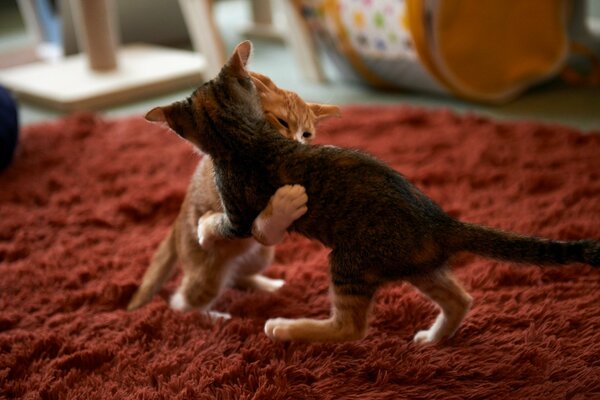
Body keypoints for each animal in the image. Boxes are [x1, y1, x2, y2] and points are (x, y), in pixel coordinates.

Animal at [126, 71, 338, 316]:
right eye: (282, 121)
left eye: (307, 134)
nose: (296, 144)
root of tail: (178, 219)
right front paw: (285, 204)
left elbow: (268, 233)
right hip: (208, 273)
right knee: (183, 301)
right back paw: (214, 317)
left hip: (261, 256)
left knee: (237, 275)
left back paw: (267, 286)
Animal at [148, 41, 596, 344]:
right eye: (280, 122)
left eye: (307, 134)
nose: (301, 141)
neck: (243, 136)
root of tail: (440, 223)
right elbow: (232, 222)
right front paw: (210, 223)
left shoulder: (242, 214)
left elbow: (233, 222)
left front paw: (214, 222)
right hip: (400, 264)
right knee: (458, 299)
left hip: (355, 260)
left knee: (352, 327)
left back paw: (285, 327)